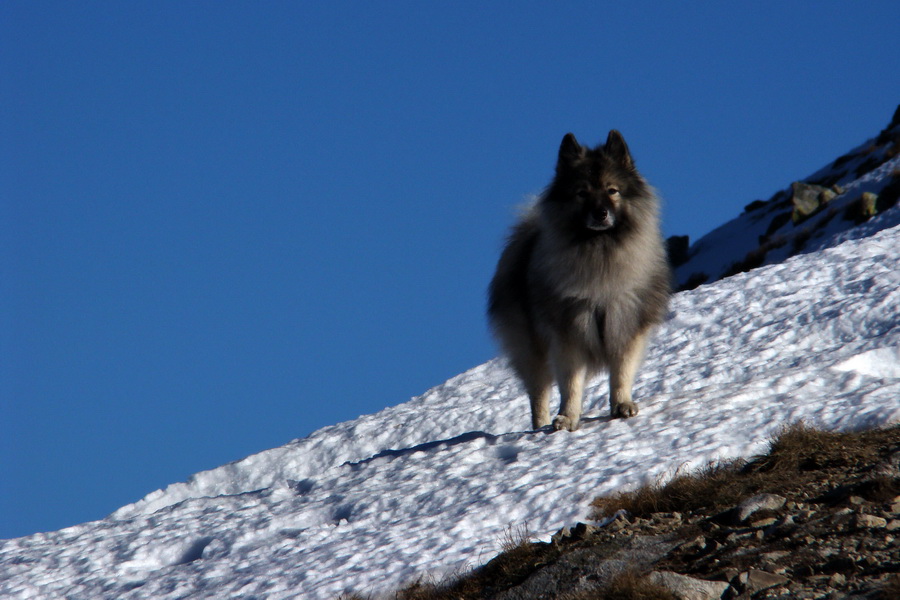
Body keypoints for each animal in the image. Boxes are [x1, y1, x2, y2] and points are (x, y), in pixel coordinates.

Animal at [488, 131, 672, 432]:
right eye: (582, 193)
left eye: (612, 190)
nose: (600, 213)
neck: (599, 255)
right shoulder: (568, 333)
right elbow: (570, 384)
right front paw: (566, 418)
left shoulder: (625, 326)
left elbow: (621, 373)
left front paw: (622, 405)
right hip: (532, 350)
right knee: (539, 392)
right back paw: (540, 425)